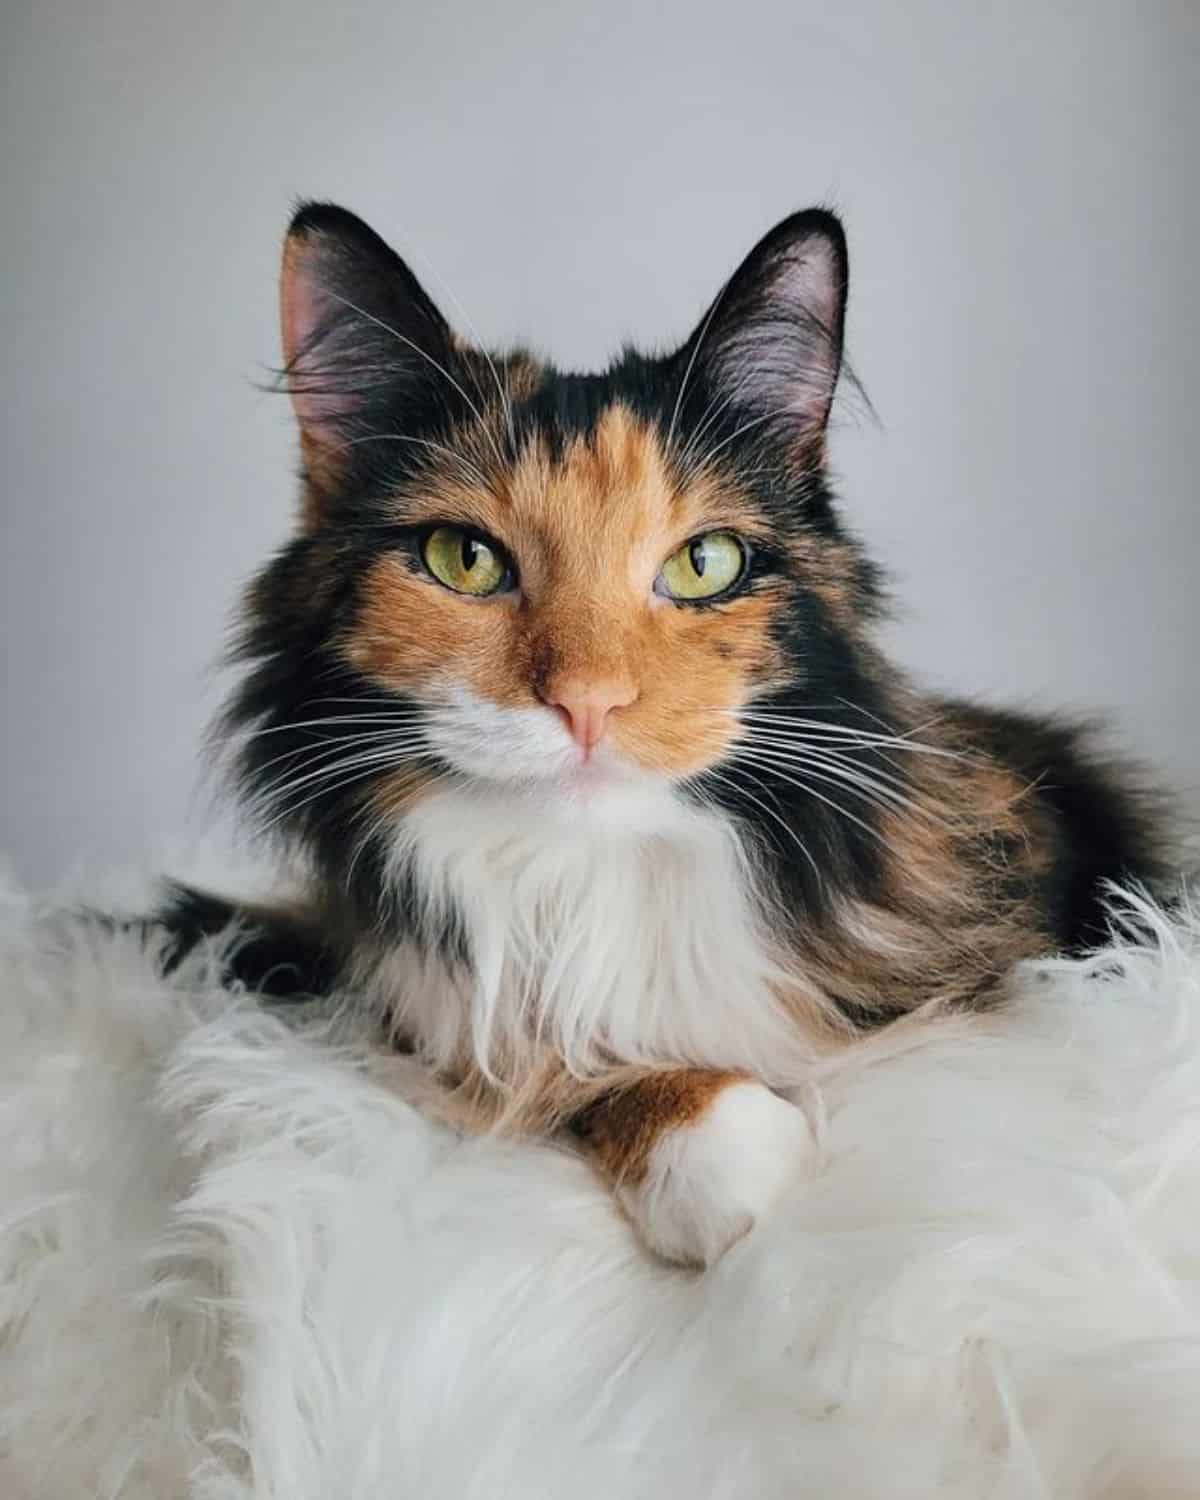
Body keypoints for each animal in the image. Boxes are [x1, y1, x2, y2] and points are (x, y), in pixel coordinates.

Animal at [154, 199, 1170, 1266]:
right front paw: (721, 1145)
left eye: (704, 563)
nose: (589, 702)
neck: (593, 882)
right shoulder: (425, 1013)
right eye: (463, 558)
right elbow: (560, 1066)